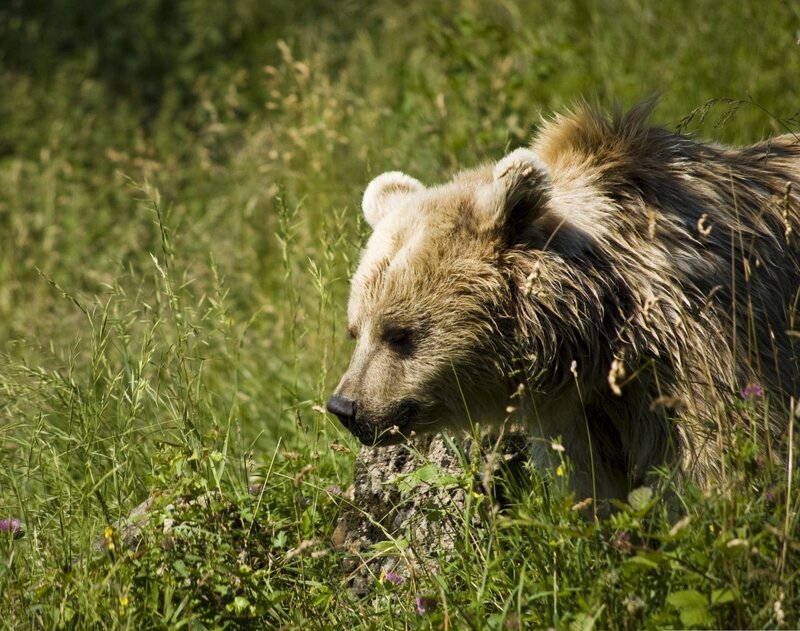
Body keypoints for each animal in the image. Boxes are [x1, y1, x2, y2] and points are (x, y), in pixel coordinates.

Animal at [327, 101, 800, 501]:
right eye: (355, 330)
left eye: (399, 333)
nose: (345, 406)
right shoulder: (582, 414)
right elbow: (594, 488)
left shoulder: (710, 346)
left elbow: (724, 455)